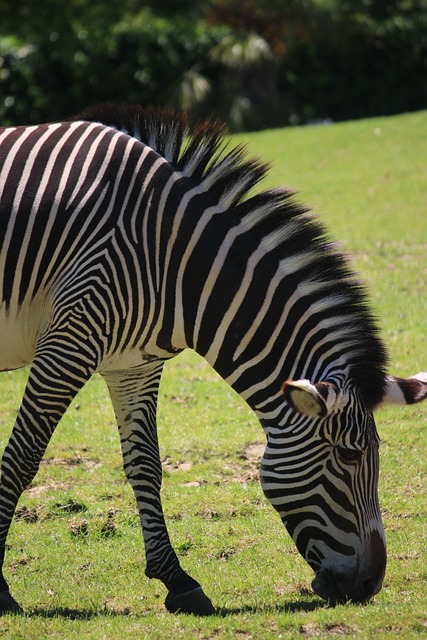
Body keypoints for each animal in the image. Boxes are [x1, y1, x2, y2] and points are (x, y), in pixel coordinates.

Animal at [0, 105, 427, 616]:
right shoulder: (69, 339)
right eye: (349, 455)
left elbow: (146, 465)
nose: (370, 585)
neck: (169, 255)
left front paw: (177, 581)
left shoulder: (133, 364)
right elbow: (22, 458)